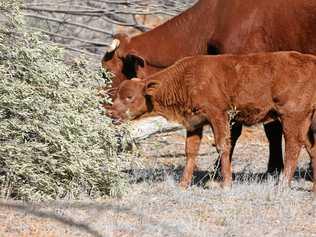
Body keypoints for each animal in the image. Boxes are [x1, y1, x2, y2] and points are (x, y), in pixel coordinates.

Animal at [107, 51, 316, 192]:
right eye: (118, 95)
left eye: (130, 97)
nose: (113, 113)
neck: (186, 78)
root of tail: (310, 61)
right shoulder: (195, 123)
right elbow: (190, 151)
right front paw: (183, 184)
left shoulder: (218, 115)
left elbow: (223, 146)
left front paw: (226, 184)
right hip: (306, 120)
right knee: (311, 147)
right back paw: (312, 188)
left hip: (291, 117)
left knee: (293, 146)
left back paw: (282, 185)